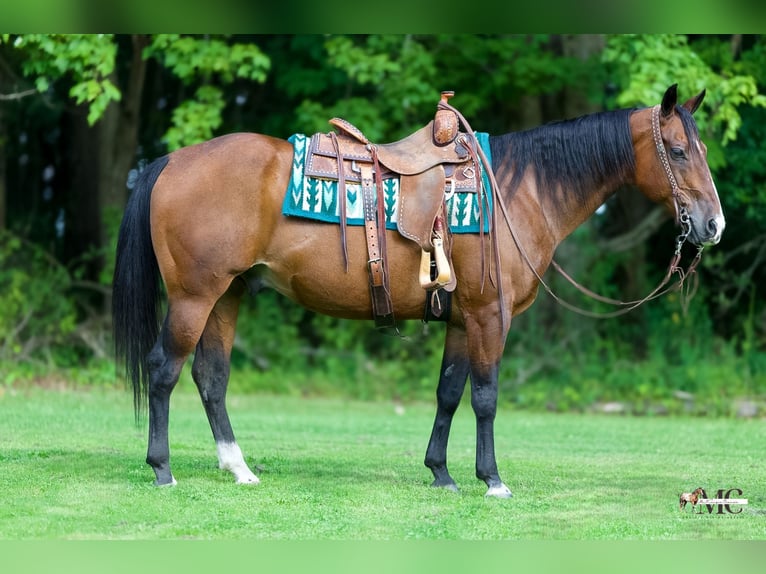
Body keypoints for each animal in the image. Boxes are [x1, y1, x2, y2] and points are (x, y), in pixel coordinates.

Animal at [112, 84, 724, 497]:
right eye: (677, 151)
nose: (713, 225)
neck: (515, 192)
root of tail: (171, 161)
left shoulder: (461, 318)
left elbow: (449, 393)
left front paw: (441, 473)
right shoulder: (490, 316)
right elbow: (486, 397)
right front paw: (492, 479)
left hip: (229, 294)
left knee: (210, 377)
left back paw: (238, 468)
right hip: (194, 296)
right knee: (164, 370)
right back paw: (162, 468)